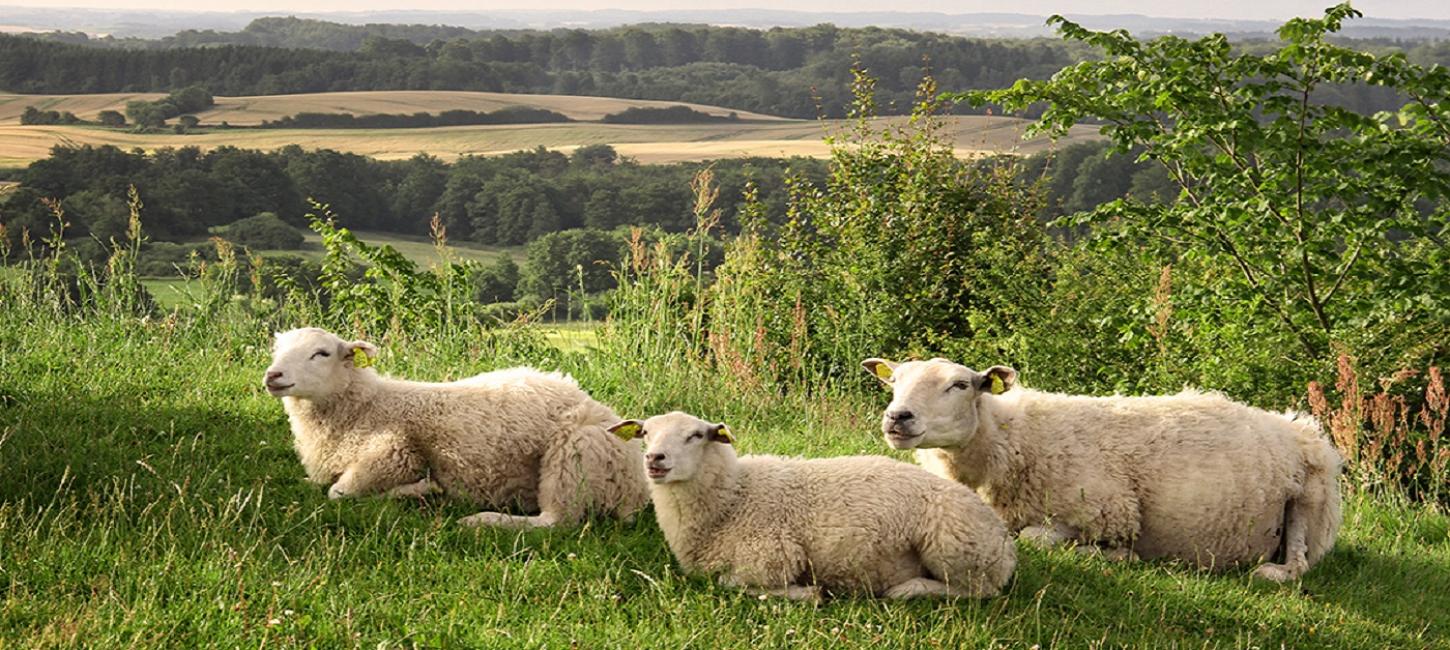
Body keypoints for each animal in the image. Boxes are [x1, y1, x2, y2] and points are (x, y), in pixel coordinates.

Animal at [263, 327, 649, 531]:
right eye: (277, 350)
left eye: (322, 353)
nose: (273, 375)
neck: (367, 405)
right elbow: (316, 483)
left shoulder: (395, 452)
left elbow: (337, 493)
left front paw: (419, 490)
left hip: (574, 453)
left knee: (556, 521)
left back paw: (482, 519)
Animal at [606, 412, 1015, 597]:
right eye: (645, 433)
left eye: (695, 436)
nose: (654, 459)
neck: (735, 497)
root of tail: (1002, 537)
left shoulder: (771, 557)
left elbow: (730, 583)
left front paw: (807, 595)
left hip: (955, 549)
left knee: (979, 591)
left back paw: (909, 589)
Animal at [858, 358, 1345, 580]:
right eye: (894, 381)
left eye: (960, 385)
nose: (897, 417)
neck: (1011, 438)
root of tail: (1299, 426)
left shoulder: (1106, 511)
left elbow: (1036, 539)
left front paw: (1117, 556)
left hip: (1309, 500)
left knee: (1299, 561)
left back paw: (1272, 572)